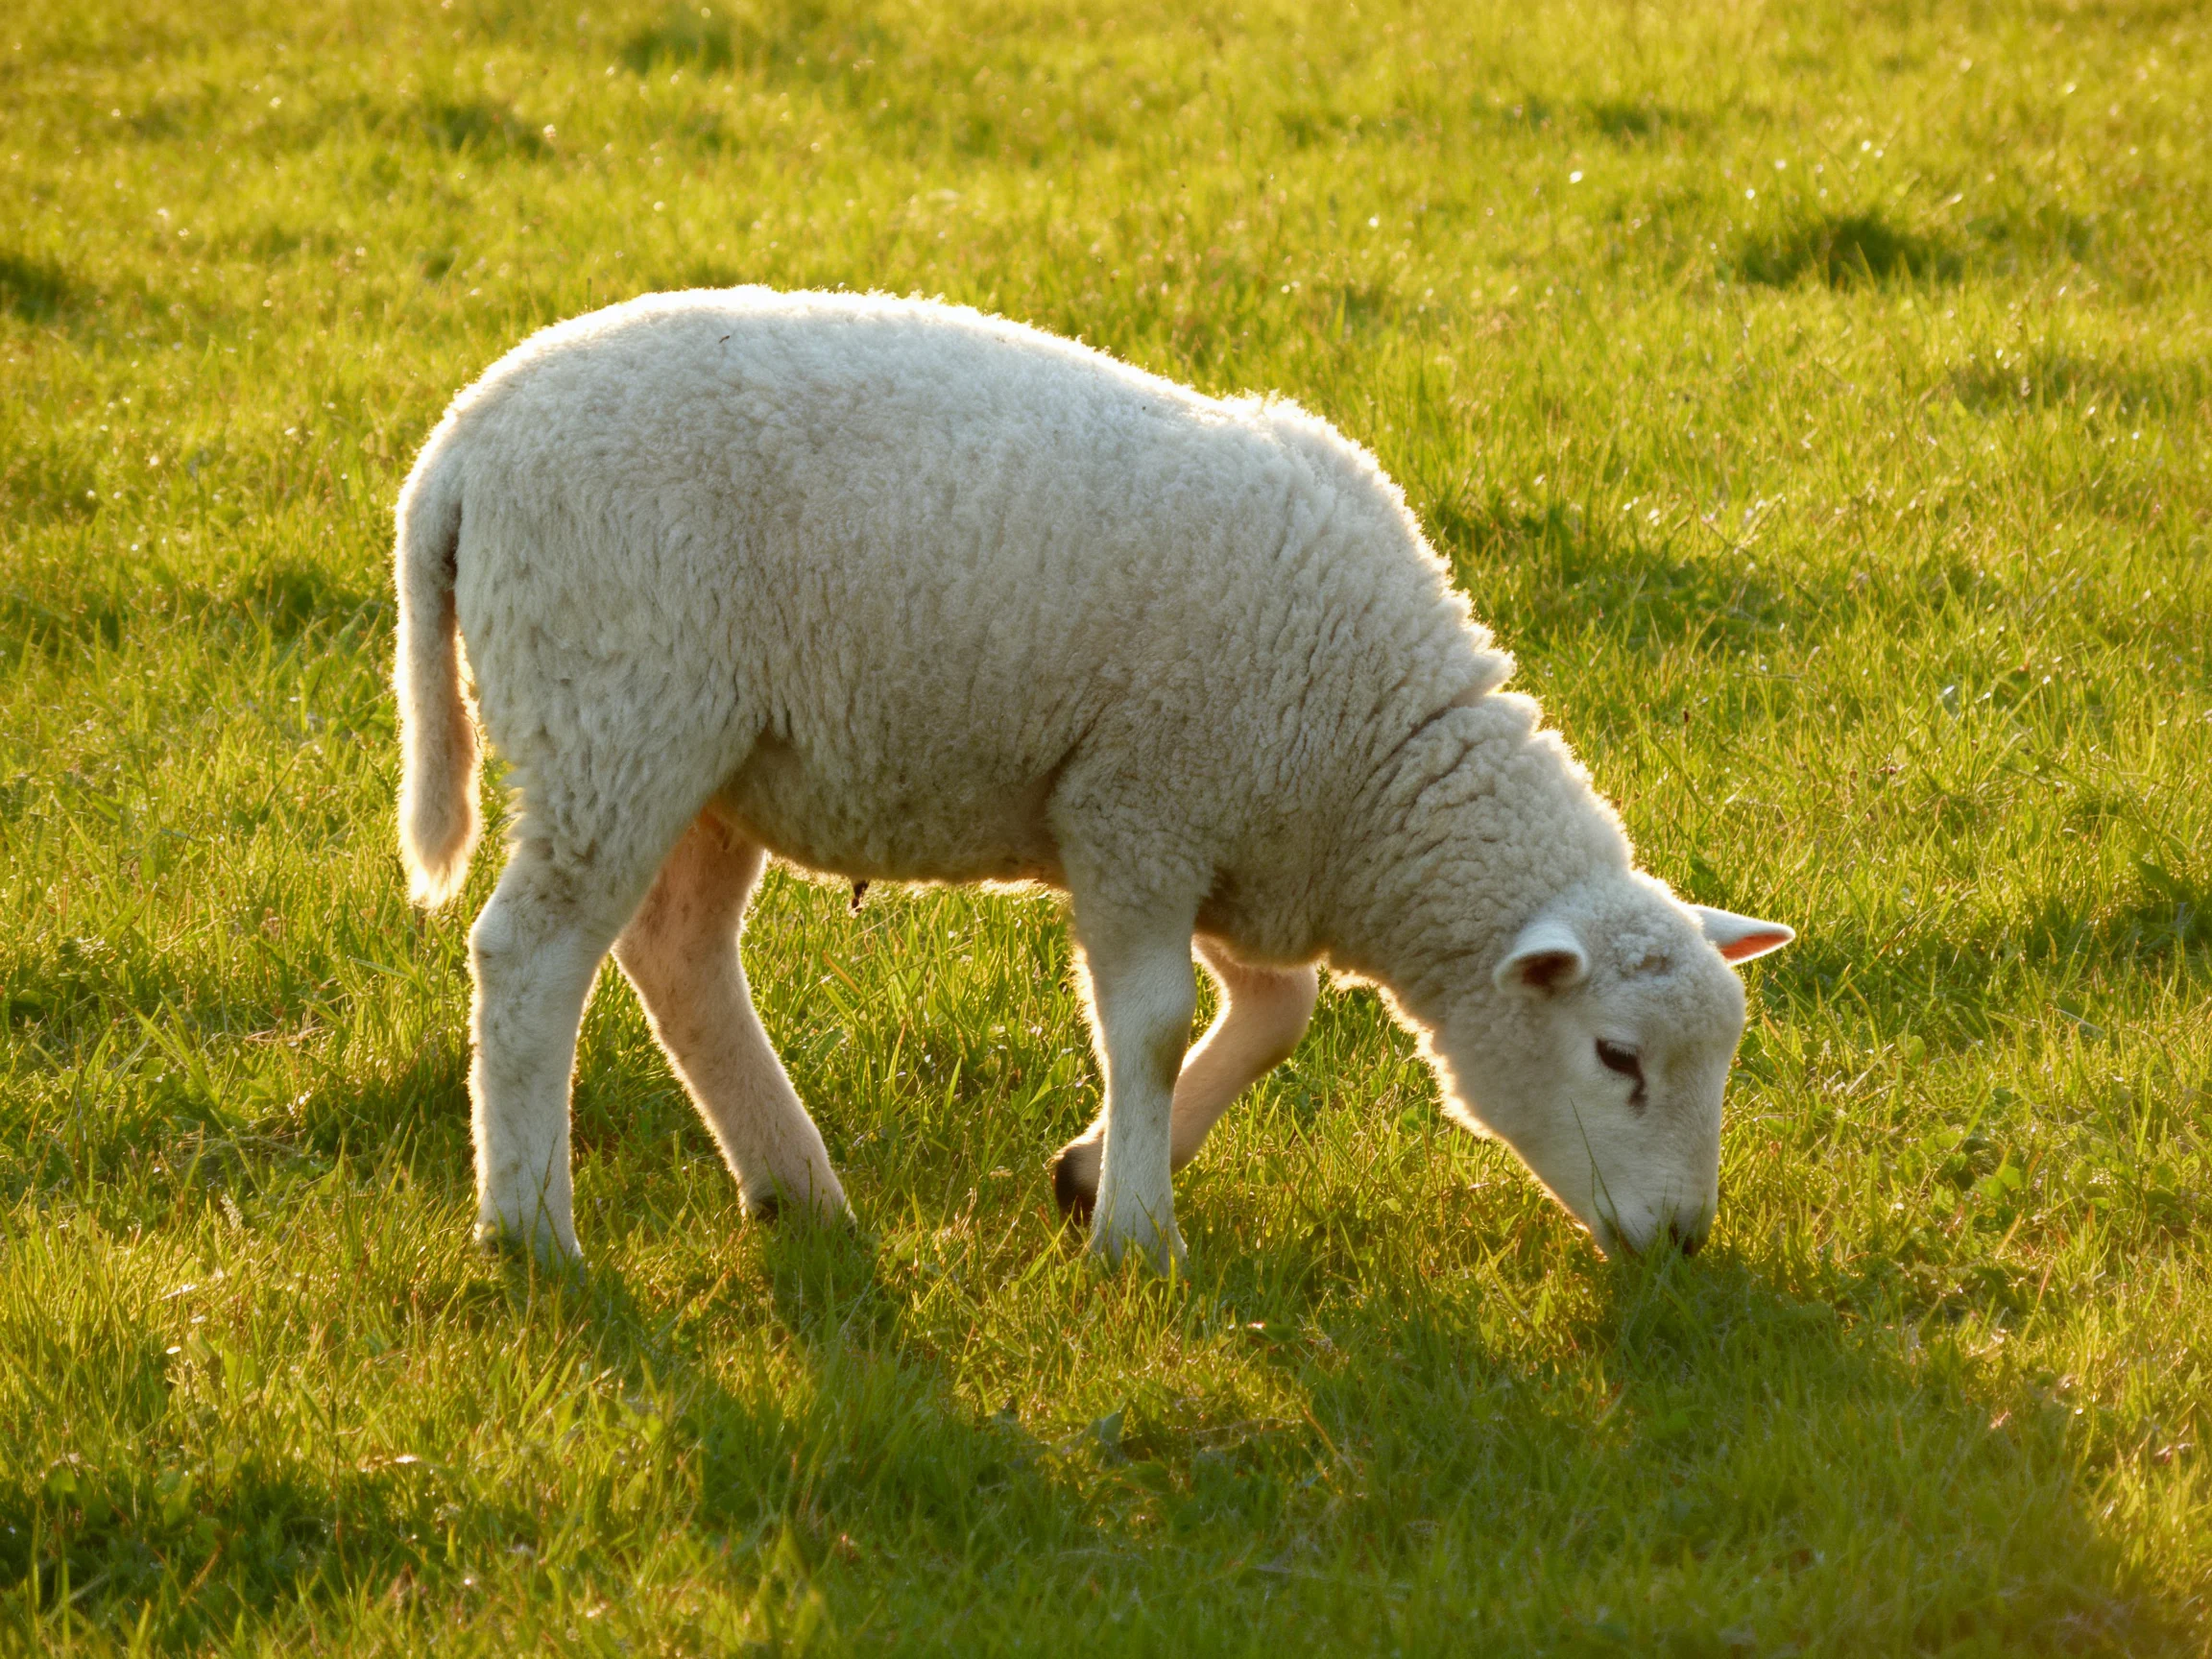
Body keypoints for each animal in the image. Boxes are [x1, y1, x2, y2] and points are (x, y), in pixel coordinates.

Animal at [394, 286, 1793, 1272]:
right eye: (1617, 1058)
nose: (1682, 1245)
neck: (1370, 757)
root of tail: (462, 442)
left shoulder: (1224, 844)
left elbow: (1275, 1012)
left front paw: (1093, 1174)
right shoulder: (1138, 810)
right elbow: (1155, 1025)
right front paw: (1138, 1232)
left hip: (709, 756)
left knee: (676, 955)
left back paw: (797, 1190)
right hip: (615, 713)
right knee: (530, 961)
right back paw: (532, 1231)